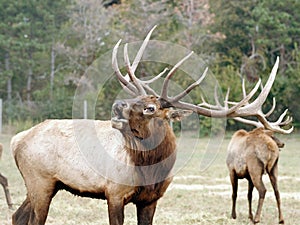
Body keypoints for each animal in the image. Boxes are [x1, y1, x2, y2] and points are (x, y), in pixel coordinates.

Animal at [10, 25, 292, 224]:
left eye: (150, 107)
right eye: (138, 99)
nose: (117, 105)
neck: (150, 171)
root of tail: (16, 140)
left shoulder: (150, 200)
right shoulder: (114, 193)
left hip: (45, 184)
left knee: (17, 216)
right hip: (39, 181)